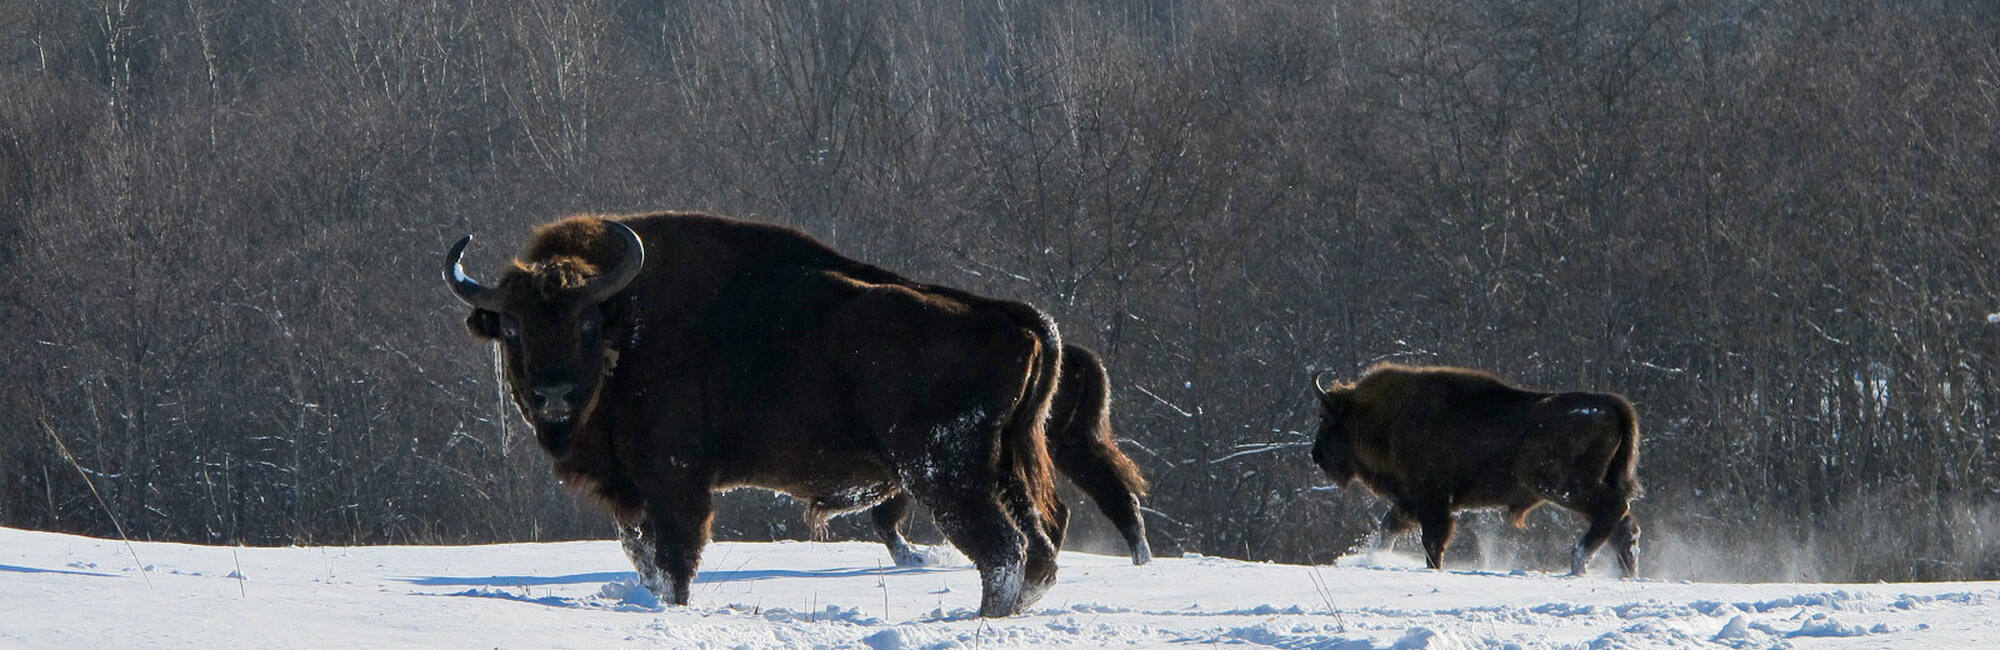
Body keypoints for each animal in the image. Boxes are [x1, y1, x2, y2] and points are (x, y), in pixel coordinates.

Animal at [450, 211, 1080, 612]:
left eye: (585, 321)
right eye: (512, 327)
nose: (553, 394)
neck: (625, 324)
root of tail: (1009, 316)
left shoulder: (673, 482)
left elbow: (673, 560)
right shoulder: (633, 493)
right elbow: (641, 555)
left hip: (946, 476)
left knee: (1003, 551)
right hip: (1007, 469)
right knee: (1039, 549)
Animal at [1312, 362, 1640, 576]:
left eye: (1325, 418)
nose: (1316, 455)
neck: (1389, 417)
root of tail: (1611, 404)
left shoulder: (1432, 502)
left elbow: (1432, 542)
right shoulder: (1409, 503)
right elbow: (1388, 529)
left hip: (1559, 484)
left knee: (1613, 510)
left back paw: (1578, 562)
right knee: (1624, 524)